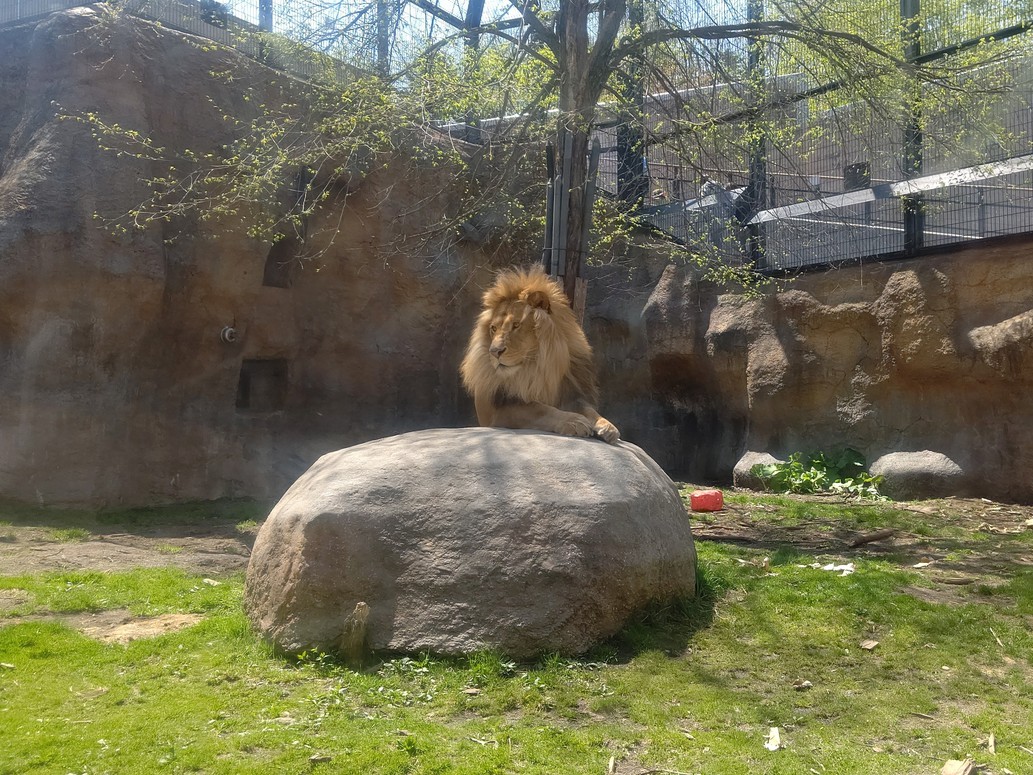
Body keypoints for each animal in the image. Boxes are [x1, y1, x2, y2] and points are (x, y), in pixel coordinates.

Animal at [462, 266, 619, 442]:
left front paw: (606, 426)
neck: (538, 367)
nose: (494, 352)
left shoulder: (570, 392)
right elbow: (539, 409)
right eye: (493, 328)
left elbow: (588, 409)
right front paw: (574, 421)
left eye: (516, 325)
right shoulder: (499, 411)